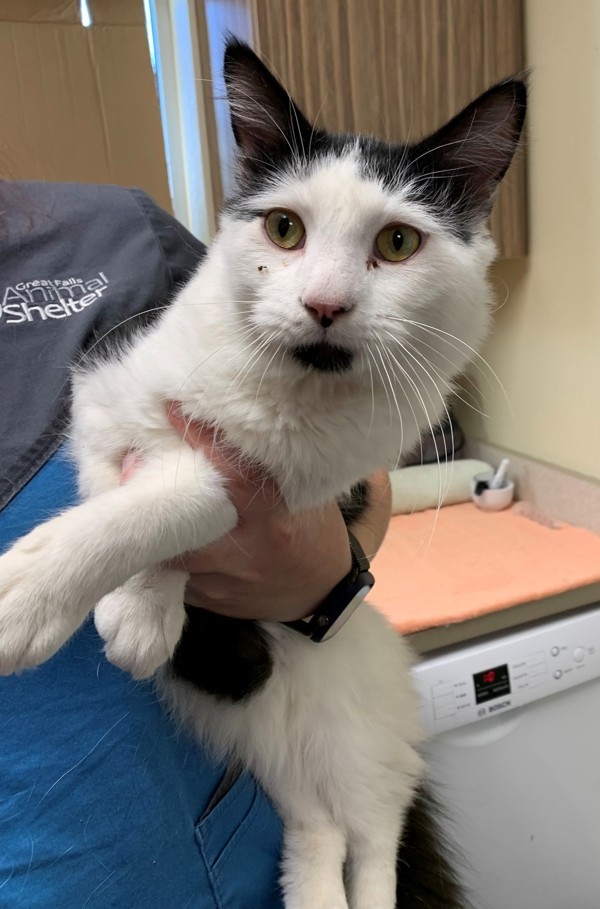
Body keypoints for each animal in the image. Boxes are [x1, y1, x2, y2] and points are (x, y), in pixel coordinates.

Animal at [0, 39, 524, 904]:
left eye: (398, 244)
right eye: (284, 229)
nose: (324, 304)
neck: (283, 397)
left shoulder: (294, 487)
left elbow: (182, 496)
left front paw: (54, 598)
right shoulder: (105, 402)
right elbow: (134, 481)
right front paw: (132, 604)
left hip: (366, 745)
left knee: (374, 839)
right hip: (279, 754)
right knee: (320, 830)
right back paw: (311, 888)